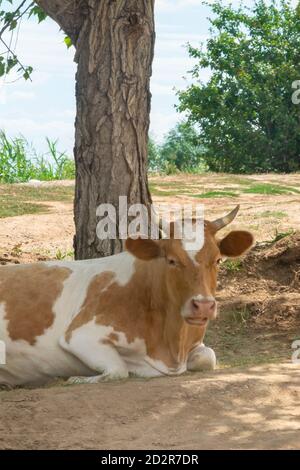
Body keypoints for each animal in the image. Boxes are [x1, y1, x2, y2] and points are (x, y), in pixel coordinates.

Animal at [0, 205, 253, 386]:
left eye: (218, 260)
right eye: (171, 260)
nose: (203, 305)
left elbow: (208, 357)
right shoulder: (80, 334)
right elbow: (118, 371)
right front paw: (77, 378)